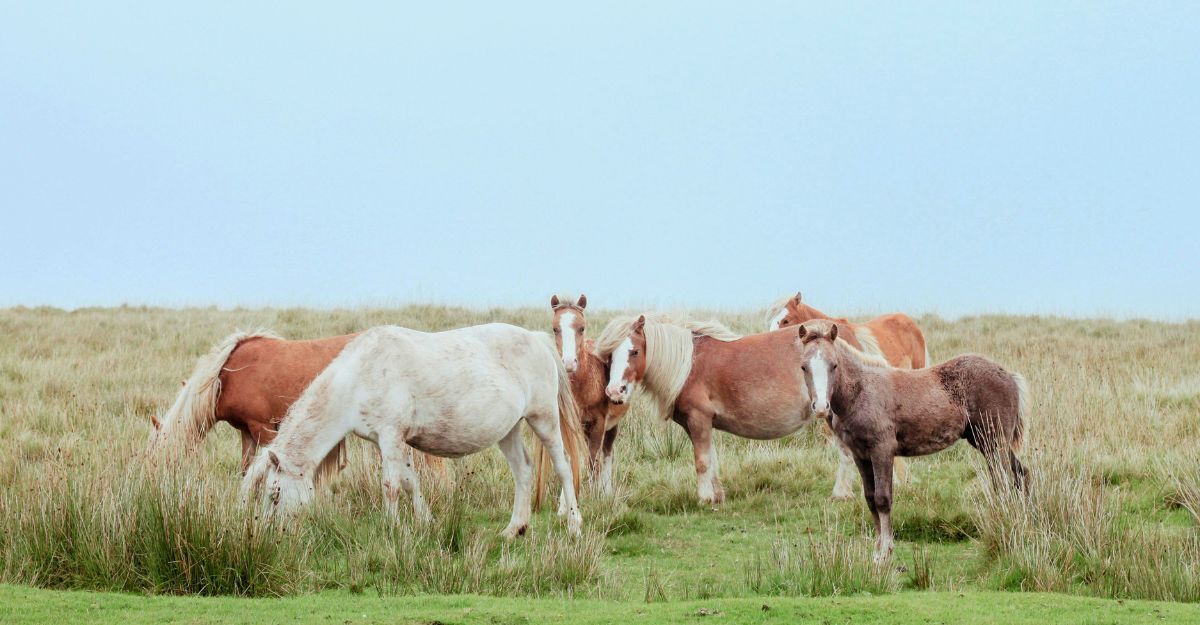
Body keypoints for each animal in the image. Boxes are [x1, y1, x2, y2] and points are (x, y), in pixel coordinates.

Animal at [147, 331, 445, 484]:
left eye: (157, 458)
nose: (152, 487)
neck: (226, 374)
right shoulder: (246, 432)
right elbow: (246, 468)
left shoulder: (264, 428)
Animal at [241, 323, 586, 537]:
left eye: (274, 495)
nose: (268, 534)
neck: (361, 374)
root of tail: (536, 338)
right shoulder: (388, 441)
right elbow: (410, 482)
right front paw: (425, 522)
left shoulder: (391, 436)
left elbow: (391, 486)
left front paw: (391, 529)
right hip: (509, 431)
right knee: (523, 471)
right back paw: (514, 529)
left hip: (544, 419)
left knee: (564, 467)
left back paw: (573, 524)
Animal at [538, 294, 629, 506]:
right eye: (555, 328)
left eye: (581, 327)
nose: (569, 363)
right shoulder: (567, 426)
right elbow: (569, 459)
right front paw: (565, 503)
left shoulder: (599, 423)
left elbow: (593, 460)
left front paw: (595, 495)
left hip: (611, 425)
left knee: (607, 453)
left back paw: (606, 491)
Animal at [594, 313, 868, 504]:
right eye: (609, 355)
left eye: (634, 351)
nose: (615, 391)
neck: (688, 365)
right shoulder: (701, 424)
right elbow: (712, 459)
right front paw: (716, 495)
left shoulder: (699, 419)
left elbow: (702, 461)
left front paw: (704, 498)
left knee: (845, 453)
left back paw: (840, 494)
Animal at [795, 319, 1027, 562]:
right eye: (804, 367)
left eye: (834, 365)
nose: (821, 408)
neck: (861, 392)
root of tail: (1008, 375)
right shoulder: (860, 455)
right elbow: (869, 499)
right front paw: (878, 550)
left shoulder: (882, 451)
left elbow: (882, 499)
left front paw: (885, 553)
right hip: (986, 442)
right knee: (1019, 475)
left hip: (995, 441)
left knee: (1004, 480)